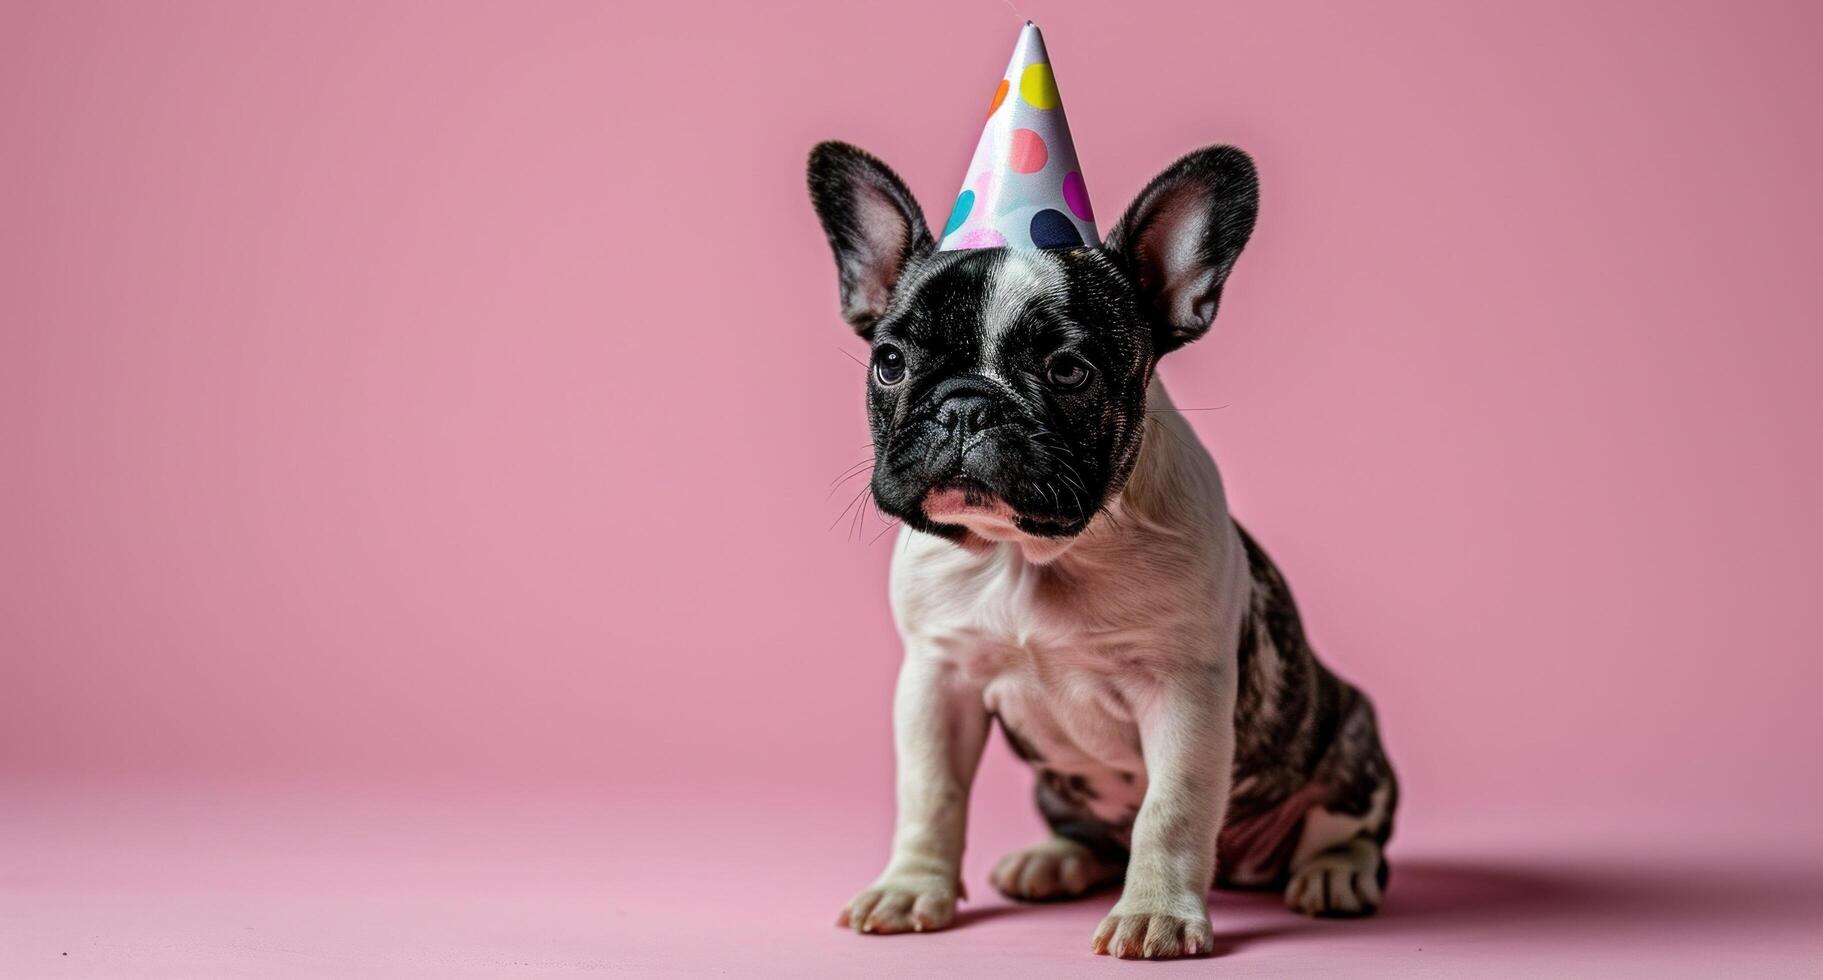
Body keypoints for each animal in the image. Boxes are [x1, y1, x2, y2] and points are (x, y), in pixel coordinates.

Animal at [809, 141, 1392, 954]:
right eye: (890, 362)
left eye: (1068, 371)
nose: (966, 406)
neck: (1027, 554)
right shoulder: (937, 679)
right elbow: (930, 793)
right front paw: (910, 888)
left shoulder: (1183, 694)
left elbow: (1171, 810)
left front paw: (1156, 913)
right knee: (1095, 834)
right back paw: (1054, 859)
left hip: (1350, 740)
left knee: (1352, 828)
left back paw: (1336, 872)